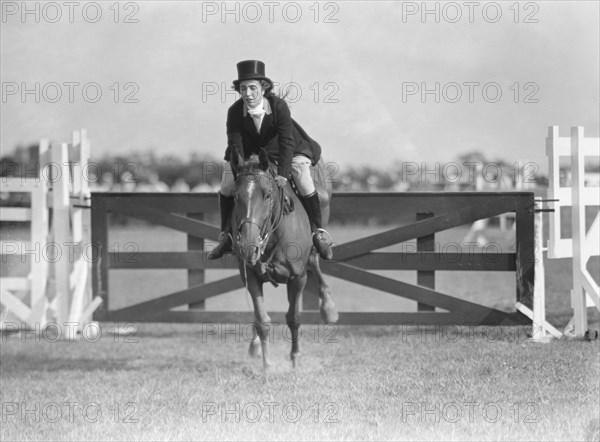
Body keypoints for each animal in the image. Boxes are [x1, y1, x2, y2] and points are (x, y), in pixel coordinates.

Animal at [229, 148, 338, 370]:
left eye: (267, 194)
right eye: (235, 196)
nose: (248, 247)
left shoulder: (298, 278)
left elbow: (293, 317)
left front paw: (295, 357)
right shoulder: (250, 276)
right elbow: (261, 319)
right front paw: (267, 365)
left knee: (314, 261)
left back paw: (328, 307)